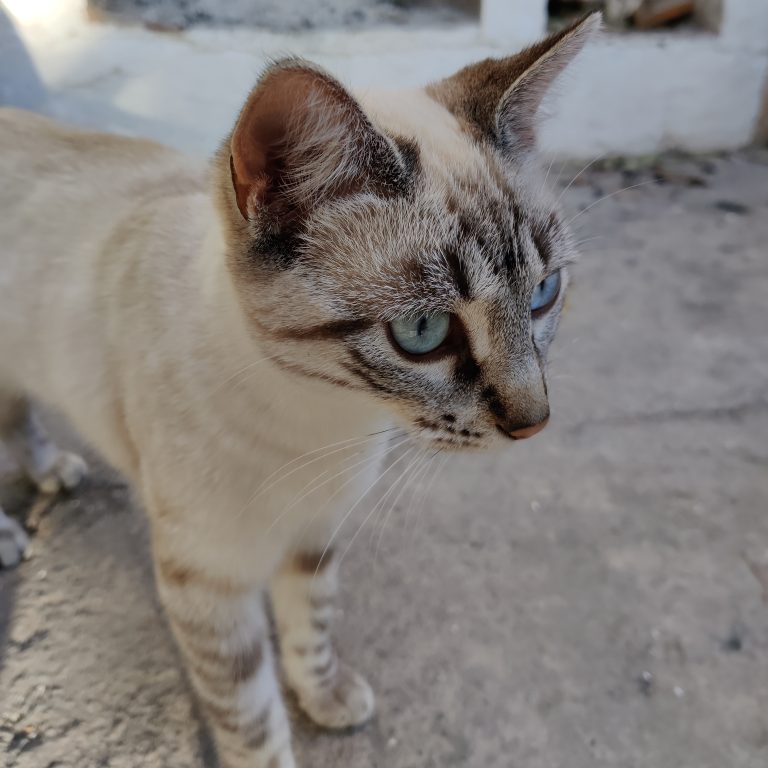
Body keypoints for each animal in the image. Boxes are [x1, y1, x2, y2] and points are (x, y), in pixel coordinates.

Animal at [0, 13, 600, 768]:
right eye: (424, 332)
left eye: (544, 294)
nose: (534, 421)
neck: (323, 415)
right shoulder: (208, 583)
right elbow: (252, 718)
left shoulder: (316, 534)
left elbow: (310, 628)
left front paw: (326, 696)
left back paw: (50, 468)